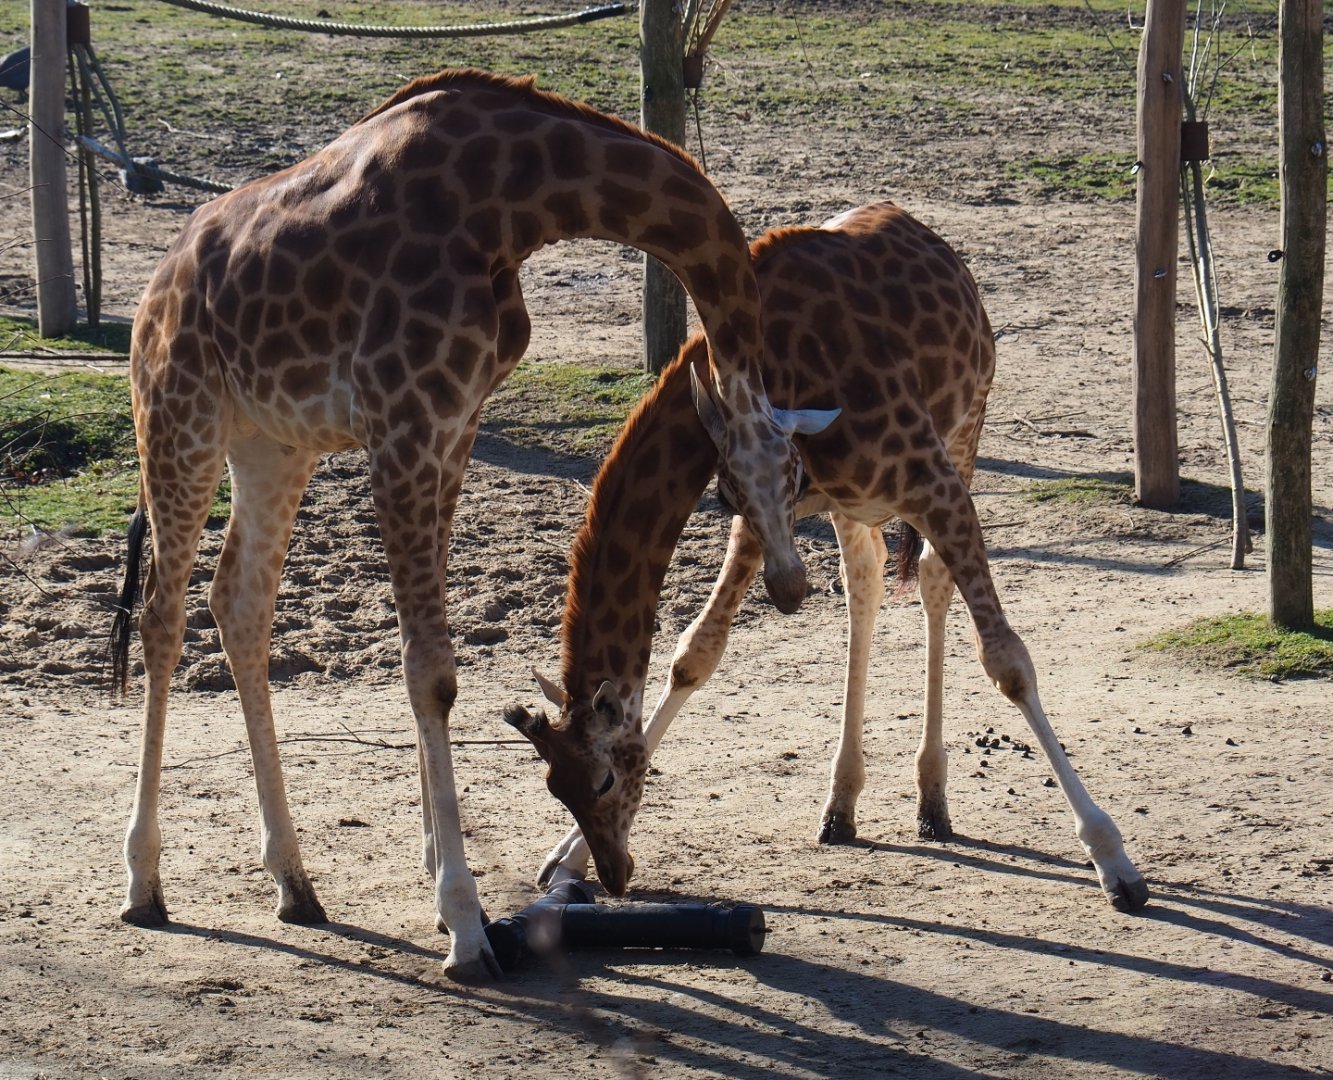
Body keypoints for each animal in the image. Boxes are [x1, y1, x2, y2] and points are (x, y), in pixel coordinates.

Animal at [107, 68, 837, 982]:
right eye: (745, 488)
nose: (790, 585)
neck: (511, 201)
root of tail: (154, 287)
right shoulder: (405, 423)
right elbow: (432, 672)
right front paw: (462, 923)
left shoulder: (452, 425)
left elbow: (428, 663)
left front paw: (441, 884)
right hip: (179, 416)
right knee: (162, 616)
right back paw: (143, 884)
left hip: (272, 442)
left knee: (238, 604)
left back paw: (294, 884)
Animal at [512, 201, 1149, 913]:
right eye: (554, 787)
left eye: (602, 780)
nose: (617, 872)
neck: (778, 360)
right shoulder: (765, 521)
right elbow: (695, 653)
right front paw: (564, 860)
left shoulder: (931, 485)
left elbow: (1008, 663)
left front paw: (1113, 859)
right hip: (853, 509)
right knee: (865, 585)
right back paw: (843, 805)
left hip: (966, 433)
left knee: (932, 579)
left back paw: (933, 800)